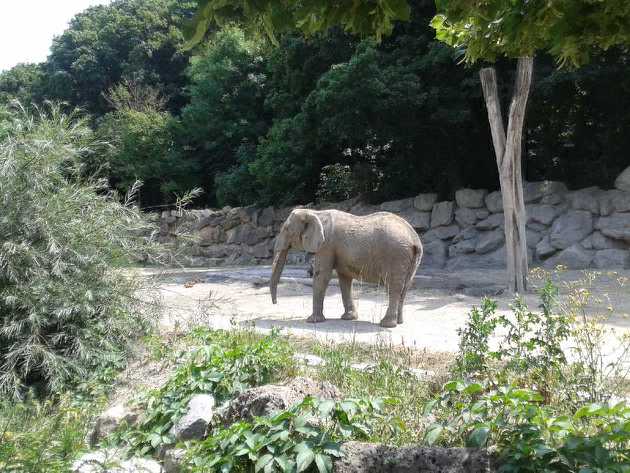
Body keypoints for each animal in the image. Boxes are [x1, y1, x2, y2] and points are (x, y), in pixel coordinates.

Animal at [272, 208, 424, 326]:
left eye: (286, 229)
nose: (275, 303)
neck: (314, 212)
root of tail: (415, 240)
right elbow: (344, 279)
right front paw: (348, 318)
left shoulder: (326, 245)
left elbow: (322, 275)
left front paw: (312, 321)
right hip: (410, 260)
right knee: (405, 287)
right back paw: (399, 322)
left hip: (395, 255)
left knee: (393, 287)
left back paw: (386, 324)